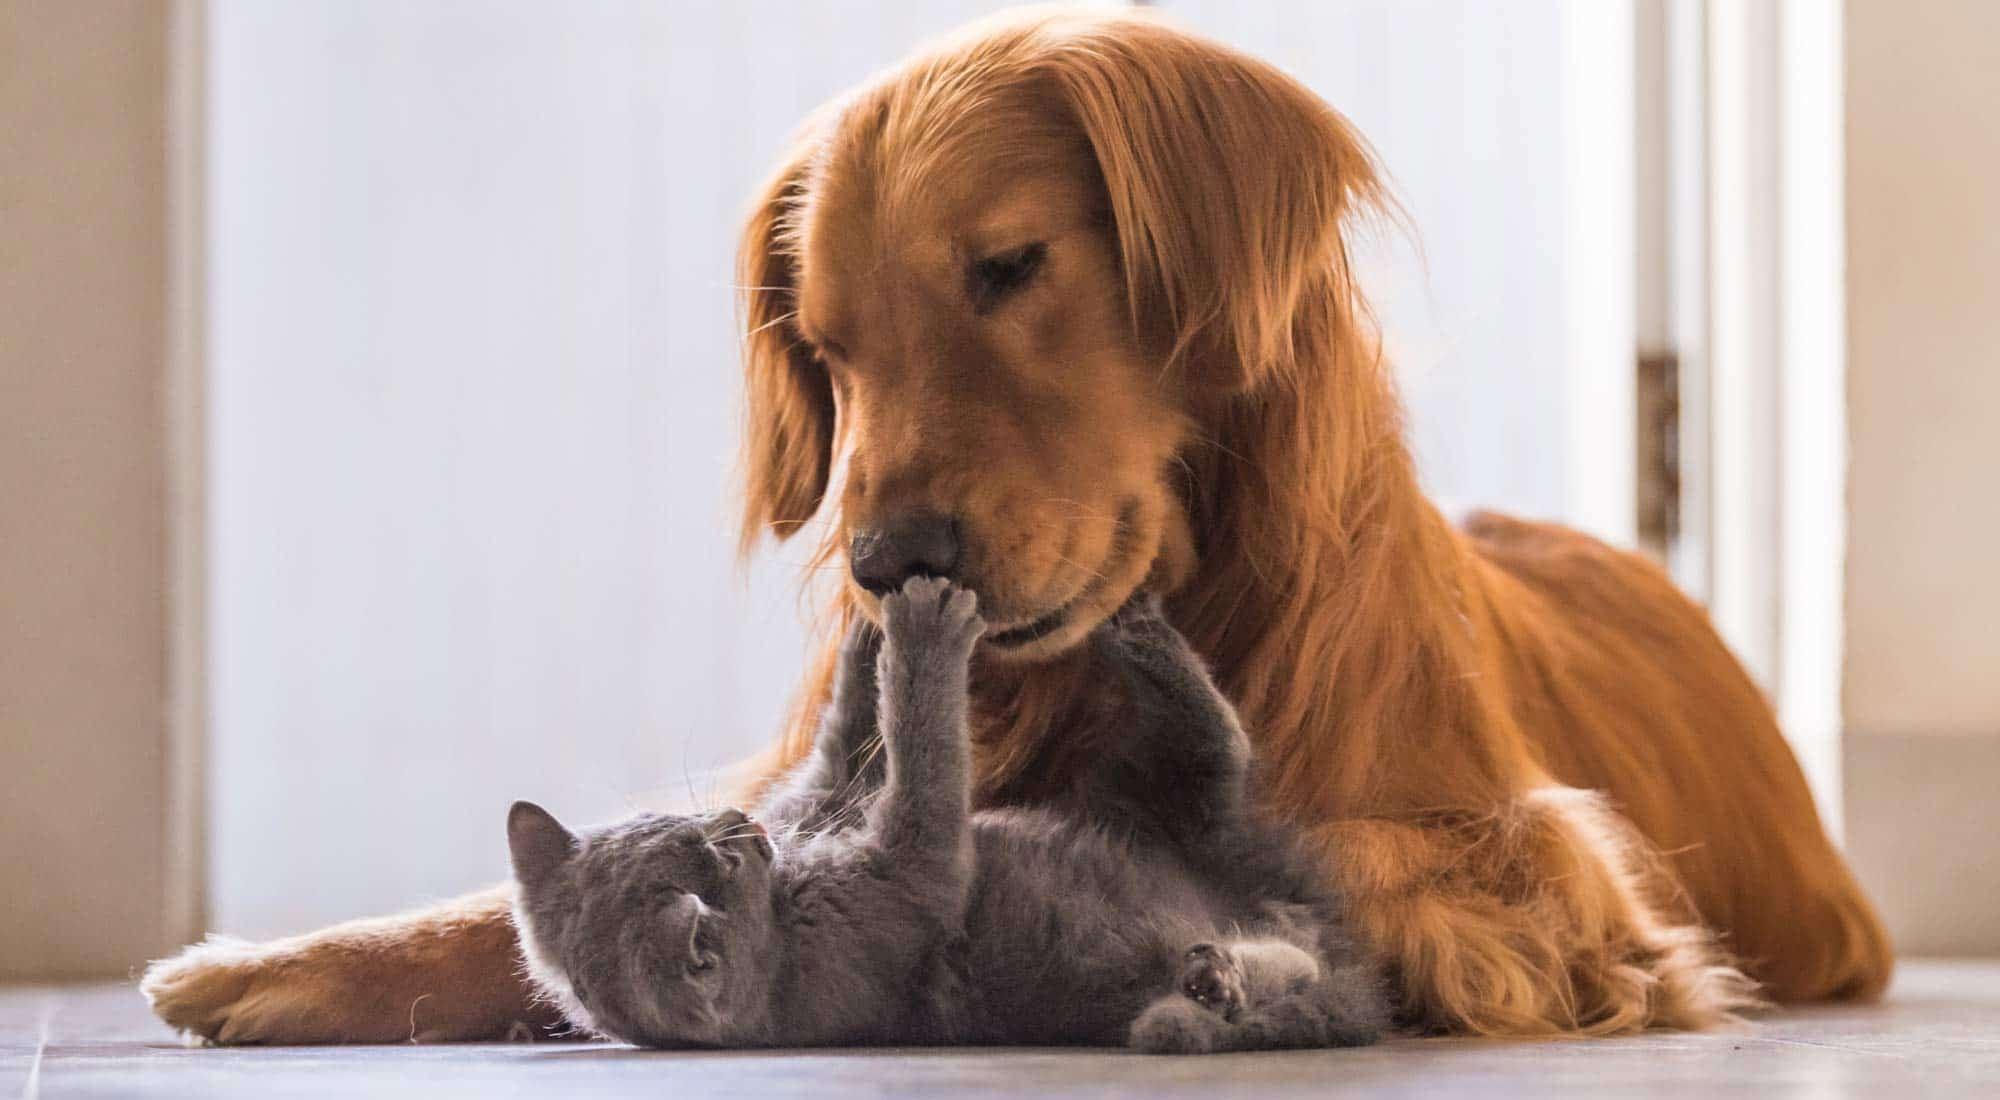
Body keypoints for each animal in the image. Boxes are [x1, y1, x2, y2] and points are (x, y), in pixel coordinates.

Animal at [508, 572, 1384, 1056]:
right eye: (714, 870)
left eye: (689, 835)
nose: (742, 831)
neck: (786, 908)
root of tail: (1315, 918)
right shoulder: (891, 898)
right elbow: (924, 763)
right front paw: (921, 627)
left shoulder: (820, 804)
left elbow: (844, 745)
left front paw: (866, 623)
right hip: (1190, 816)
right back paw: (1216, 977)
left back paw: (1130, 623)